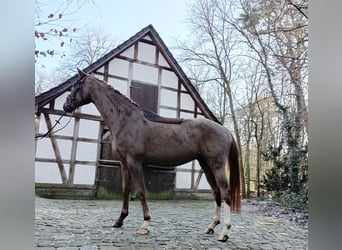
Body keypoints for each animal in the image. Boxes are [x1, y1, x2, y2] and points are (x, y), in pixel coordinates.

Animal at [63, 69, 240, 242]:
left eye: (76, 85)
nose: (66, 105)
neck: (125, 120)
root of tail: (225, 129)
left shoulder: (134, 162)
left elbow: (141, 191)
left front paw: (145, 224)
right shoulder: (124, 163)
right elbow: (125, 190)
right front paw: (120, 220)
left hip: (217, 165)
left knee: (225, 193)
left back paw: (225, 232)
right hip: (205, 165)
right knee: (216, 192)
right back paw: (212, 226)